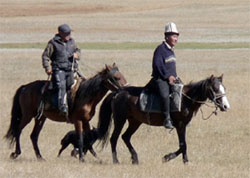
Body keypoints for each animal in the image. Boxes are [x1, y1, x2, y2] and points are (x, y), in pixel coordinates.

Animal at [92, 74, 230, 164]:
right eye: (215, 88)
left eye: (224, 88)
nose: (225, 106)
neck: (185, 99)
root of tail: (117, 93)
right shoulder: (179, 124)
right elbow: (183, 144)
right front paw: (168, 157)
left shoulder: (183, 125)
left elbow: (183, 144)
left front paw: (185, 161)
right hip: (120, 120)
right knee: (114, 138)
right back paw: (116, 161)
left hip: (135, 122)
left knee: (125, 137)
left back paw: (135, 158)